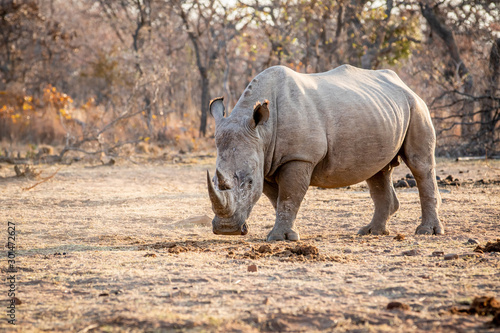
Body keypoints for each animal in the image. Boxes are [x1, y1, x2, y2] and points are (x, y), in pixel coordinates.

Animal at [206, 65, 442, 240]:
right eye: (215, 181)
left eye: (249, 183)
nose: (227, 230)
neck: (262, 132)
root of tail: (404, 84)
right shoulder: (266, 162)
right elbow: (278, 199)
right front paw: (287, 233)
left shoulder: (299, 157)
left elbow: (288, 196)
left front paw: (280, 238)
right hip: (381, 111)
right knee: (377, 172)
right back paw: (371, 232)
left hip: (416, 106)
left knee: (420, 166)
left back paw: (426, 232)